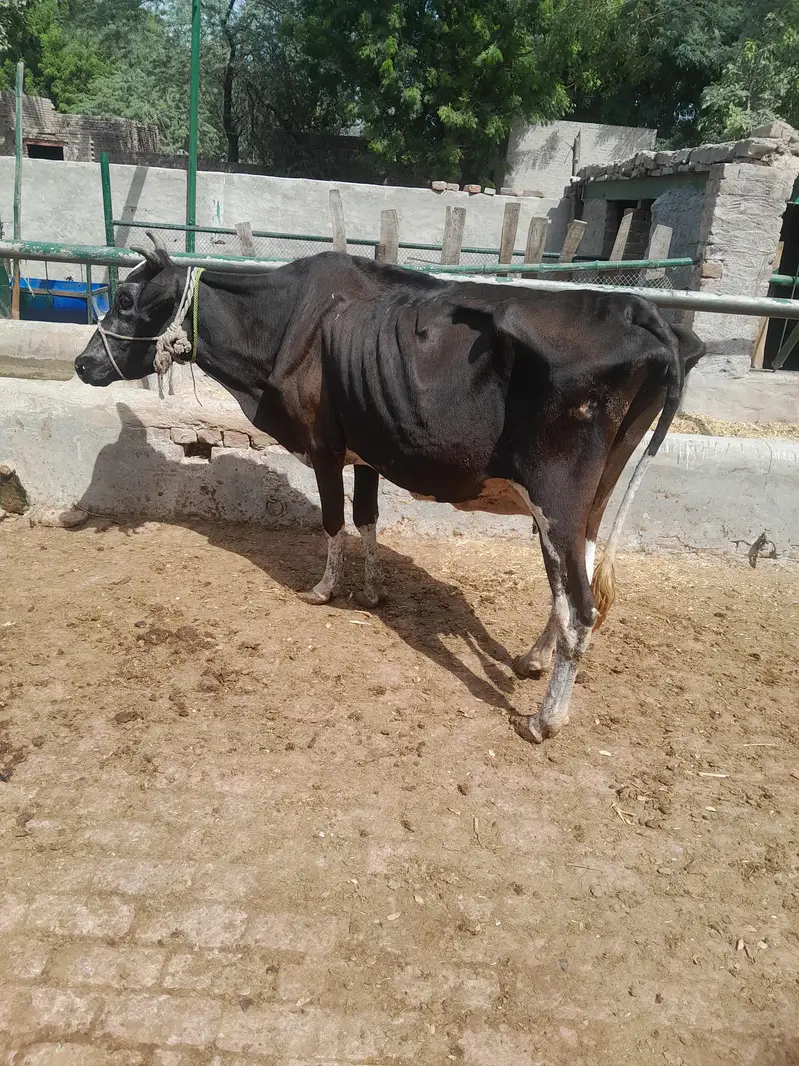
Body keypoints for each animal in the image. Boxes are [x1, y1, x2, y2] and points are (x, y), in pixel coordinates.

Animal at [74, 232, 705, 743]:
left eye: (125, 300)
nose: (83, 364)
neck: (286, 324)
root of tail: (635, 309)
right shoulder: (368, 447)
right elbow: (367, 517)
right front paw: (372, 592)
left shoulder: (324, 443)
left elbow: (333, 519)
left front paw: (323, 589)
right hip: (592, 498)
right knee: (579, 585)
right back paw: (530, 659)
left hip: (558, 493)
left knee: (578, 605)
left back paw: (543, 719)